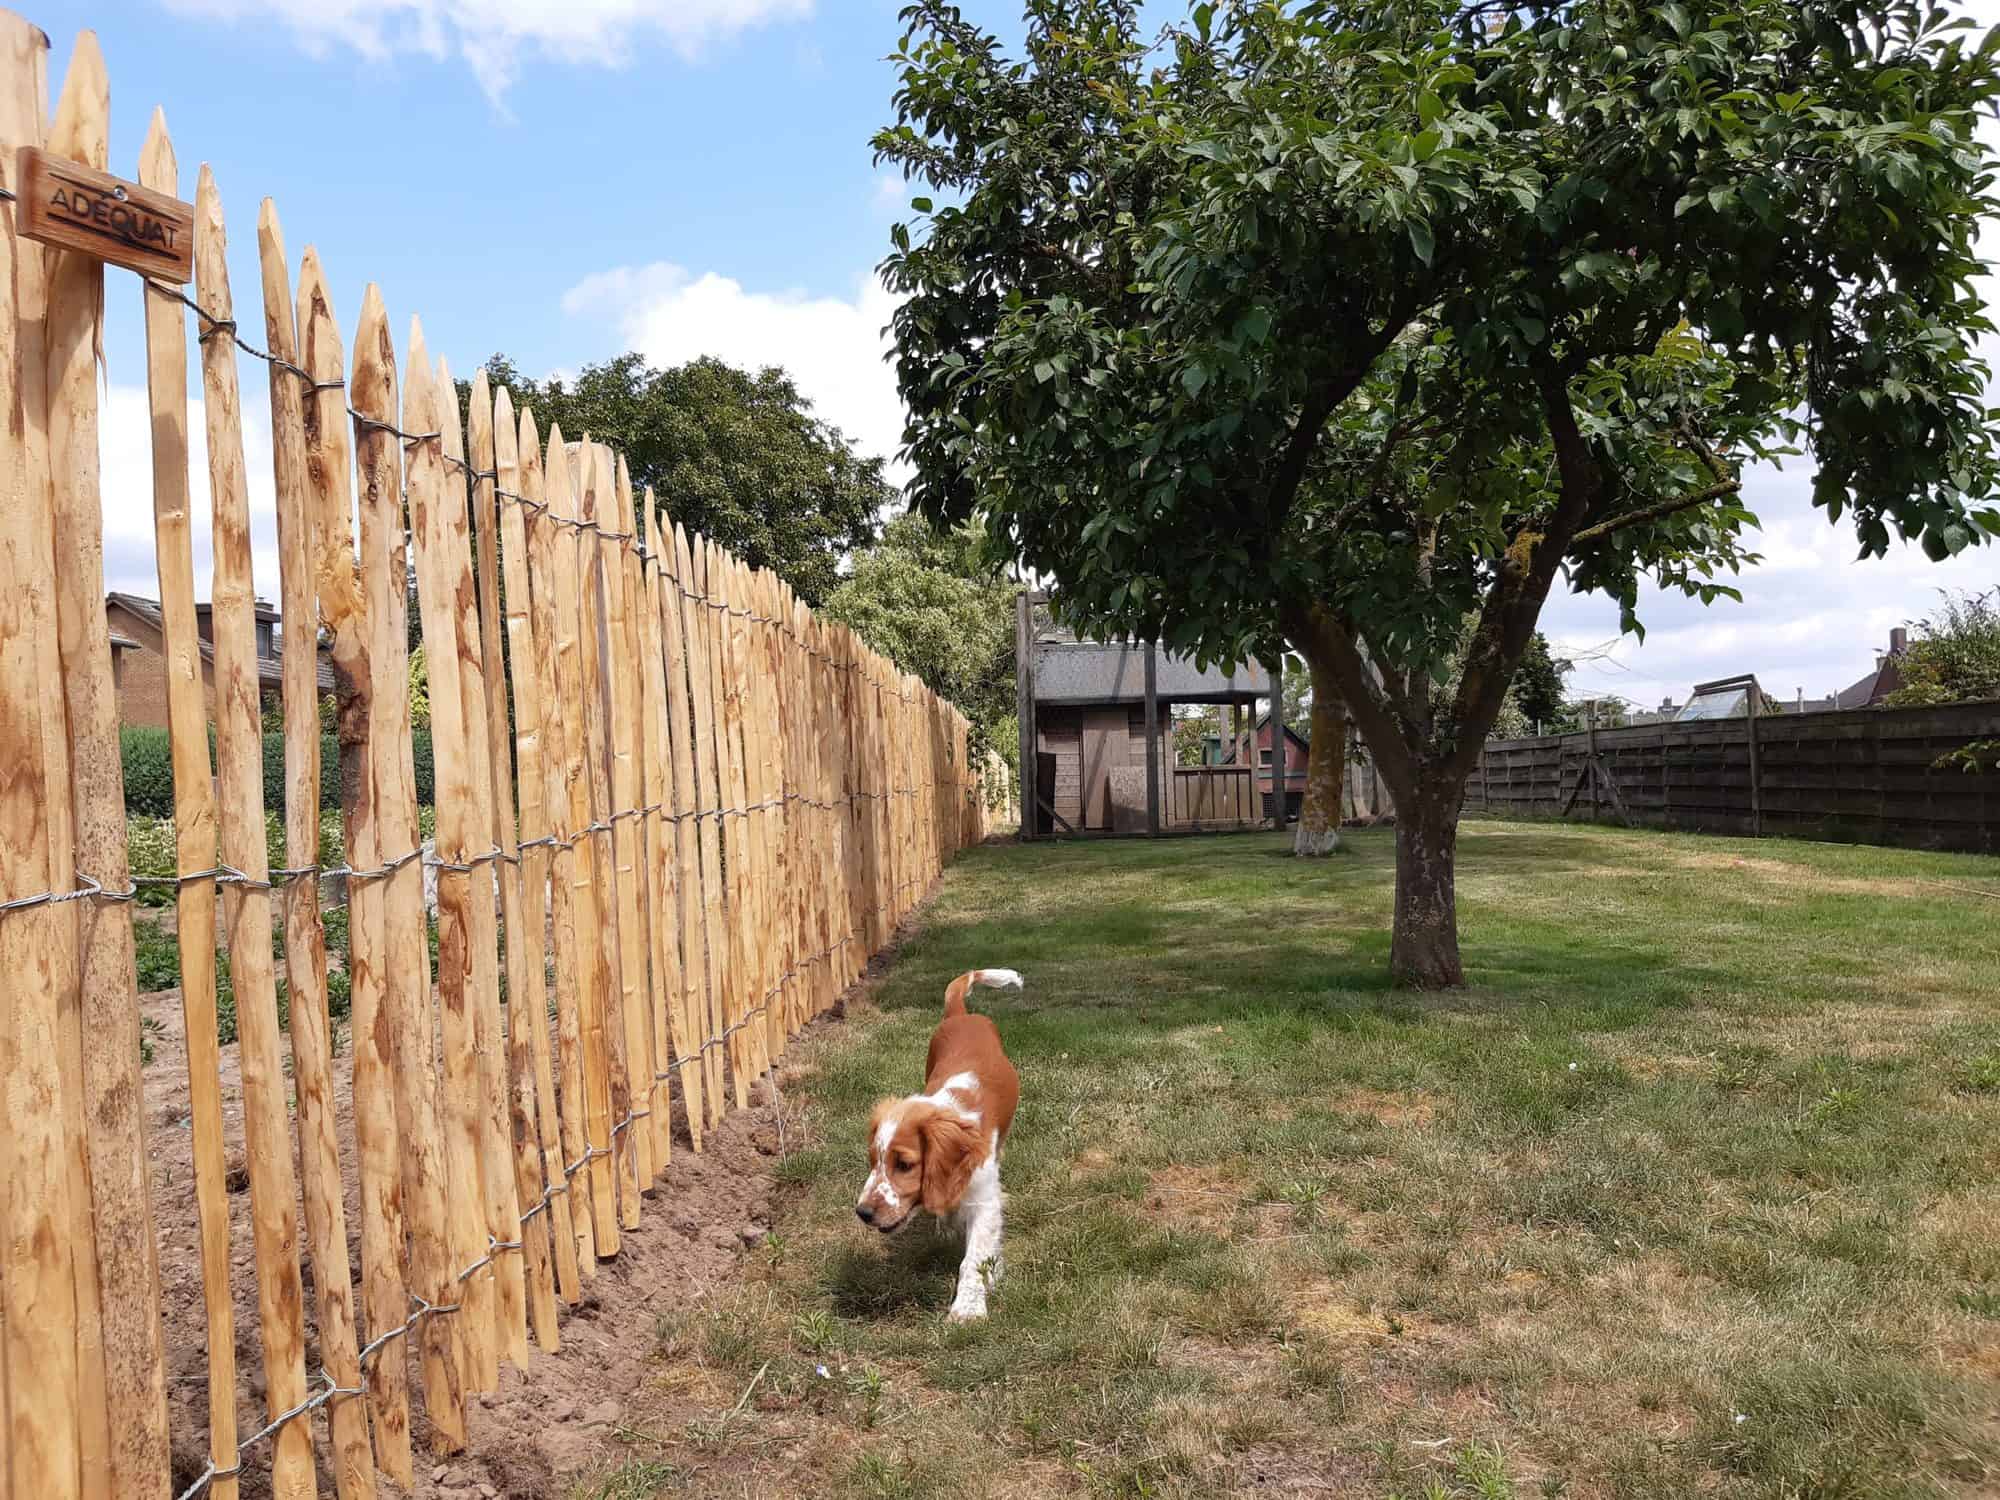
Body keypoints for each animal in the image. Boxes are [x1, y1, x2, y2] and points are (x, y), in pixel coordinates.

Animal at [852, 968, 1024, 1320]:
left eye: (905, 1164)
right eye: (873, 1161)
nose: (863, 1212)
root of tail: (961, 1015)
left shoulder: (985, 1199)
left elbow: (974, 1258)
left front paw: (969, 1308)